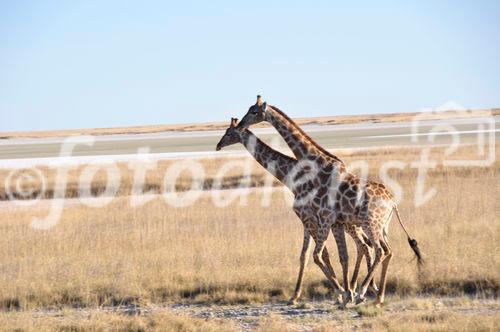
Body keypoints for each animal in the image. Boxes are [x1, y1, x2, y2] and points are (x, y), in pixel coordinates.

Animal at [215, 118, 376, 304]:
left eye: (228, 132)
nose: (218, 145)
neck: (293, 179)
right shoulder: (306, 220)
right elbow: (304, 255)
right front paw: (295, 295)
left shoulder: (309, 217)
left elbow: (322, 254)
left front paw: (339, 291)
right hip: (352, 225)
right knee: (366, 245)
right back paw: (364, 288)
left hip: (350, 224)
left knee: (365, 245)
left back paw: (364, 289)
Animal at [237, 94, 422, 304]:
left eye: (253, 111)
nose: (240, 125)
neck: (317, 164)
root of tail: (392, 202)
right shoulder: (330, 221)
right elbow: (336, 255)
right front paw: (345, 294)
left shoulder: (324, 218)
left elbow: (325, 255)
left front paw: (346, 293)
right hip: (378, 226)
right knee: (383, 250)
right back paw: (376, 296)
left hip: (370, 224)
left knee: (379, 251)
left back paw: (363, 292)